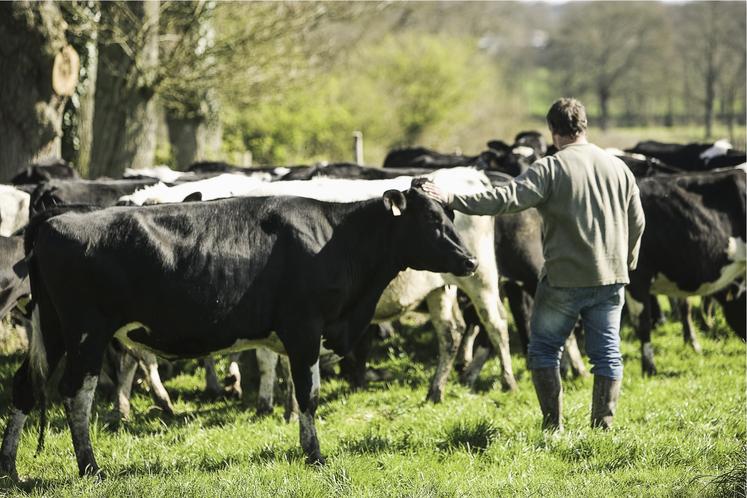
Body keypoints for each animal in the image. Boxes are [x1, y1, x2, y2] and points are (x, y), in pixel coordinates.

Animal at [0, 180, 476, 478]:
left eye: (451, 216)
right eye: (432, 222)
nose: (470, 260)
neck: (334, 238)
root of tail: (53, 220)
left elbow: (293, 388)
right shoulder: (304, 328)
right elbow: (309, 394)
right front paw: (315, 456)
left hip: (52, 328)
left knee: (24, 387)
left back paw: (11, 468)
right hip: (85, 332)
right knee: (75, 394)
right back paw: (90, 468)